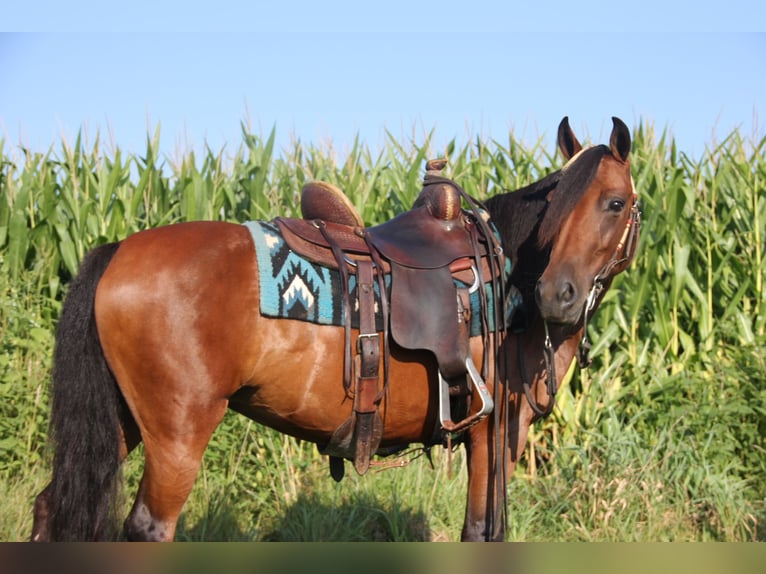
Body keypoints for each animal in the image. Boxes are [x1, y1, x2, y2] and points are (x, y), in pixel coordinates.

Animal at [30, 118, 640, 544]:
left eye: (615, 203)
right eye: (558, 206)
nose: (555, 295)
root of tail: (117, 251)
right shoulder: (494, 435)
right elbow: (481, 534)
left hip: (125, 423)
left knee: (49, 506)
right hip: (177, 438)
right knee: (149, 529)